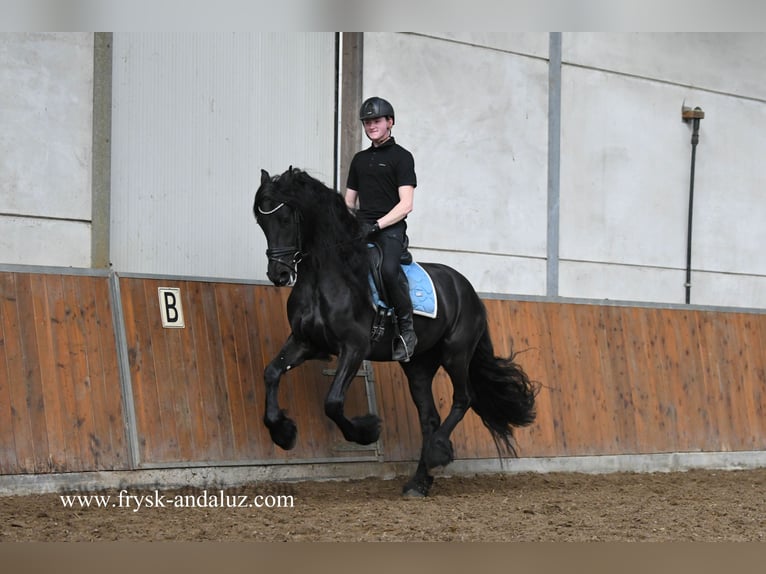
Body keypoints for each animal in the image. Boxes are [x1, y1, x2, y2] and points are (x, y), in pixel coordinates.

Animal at [254, 169, 540, 498]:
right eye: (261, 222)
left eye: (286, 218)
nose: (279, 274)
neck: (329, 274)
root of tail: (467, 289)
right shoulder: (306, 342)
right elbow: (271, 372)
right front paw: (283, 432)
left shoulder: (354, 347)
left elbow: (333, 402)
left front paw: (367, 431)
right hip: (418, 365)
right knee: (429, 418)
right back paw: (418, 482)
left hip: (456, 354)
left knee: (464, 398)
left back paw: (437, 452)